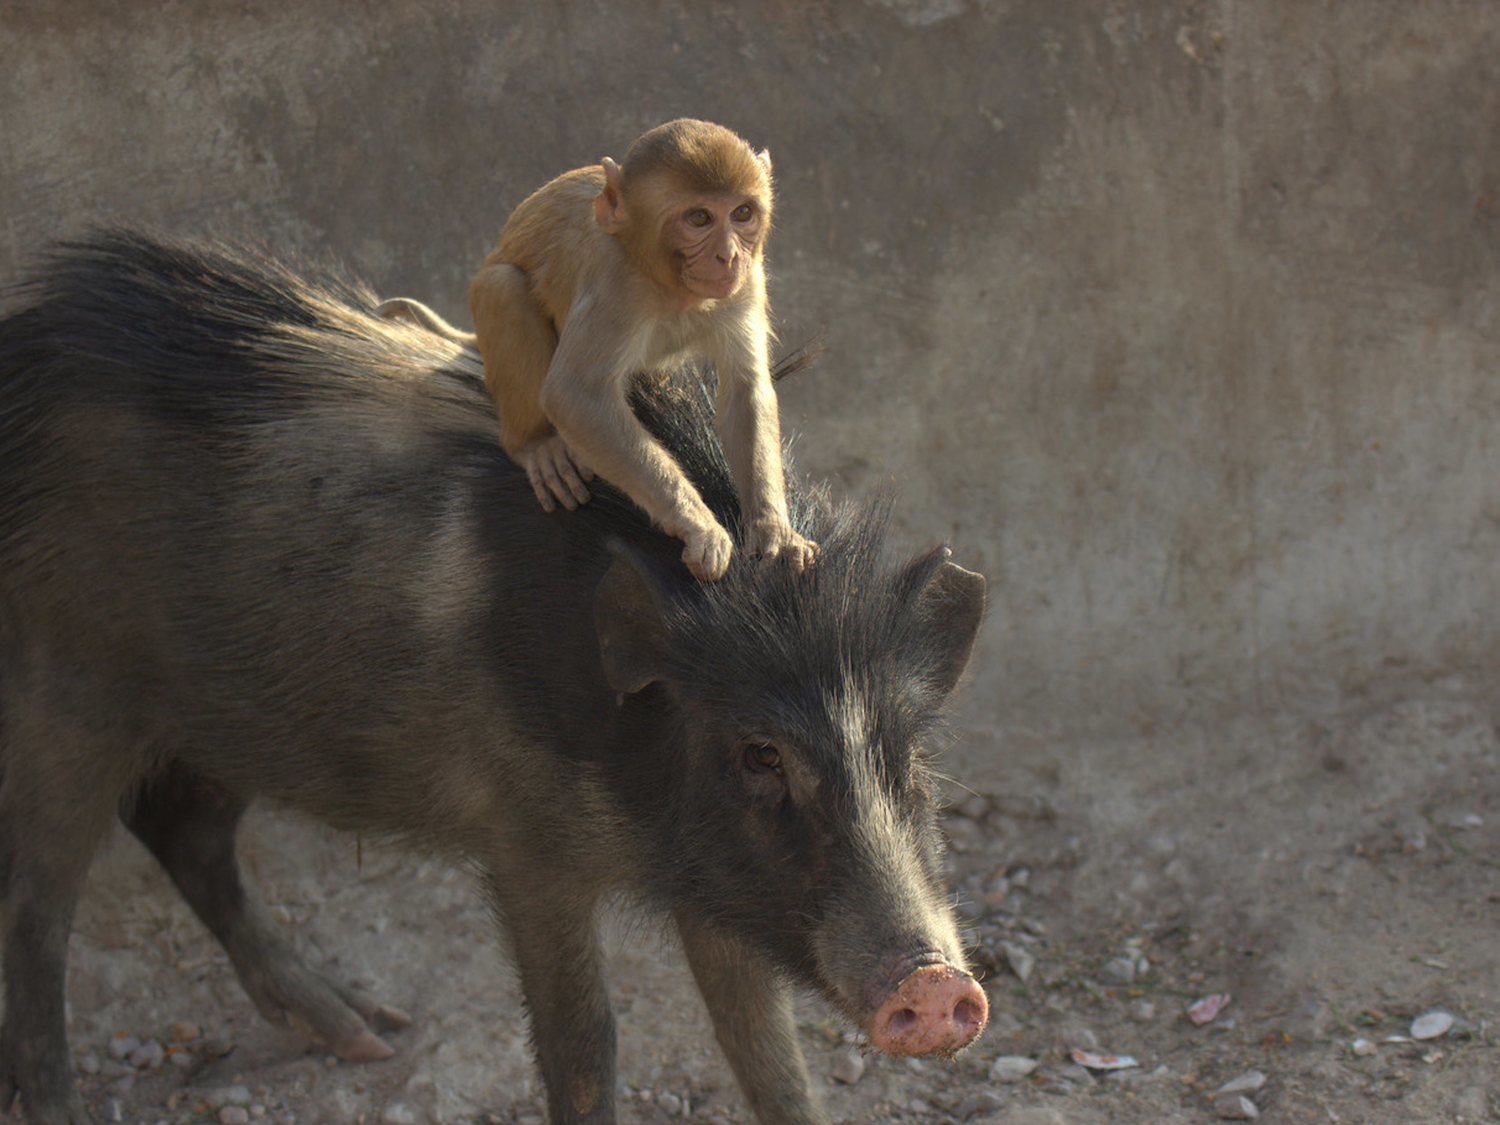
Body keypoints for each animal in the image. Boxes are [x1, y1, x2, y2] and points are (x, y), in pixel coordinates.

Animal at [0, 231, 990, 1125]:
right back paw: (64, 1104)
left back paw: (370, 1032)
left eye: (911, 754)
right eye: (759, 752)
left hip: (223, 722)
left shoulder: (714, 878)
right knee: (40, 908)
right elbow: (586, 1044)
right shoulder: (526, 844)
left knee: (183, 833)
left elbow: (766, 1051)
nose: (940, 985)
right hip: (66, 698)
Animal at [468, 120, 822, 585]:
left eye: (742, 213)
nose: (728, 256)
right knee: (504, 287)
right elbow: (575, 395)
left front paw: (773, 530)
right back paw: (536, 444)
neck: (671, 286)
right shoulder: (616, 281)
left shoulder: (748, 279)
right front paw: (698, 524)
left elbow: (745, 389)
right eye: (699, 218)